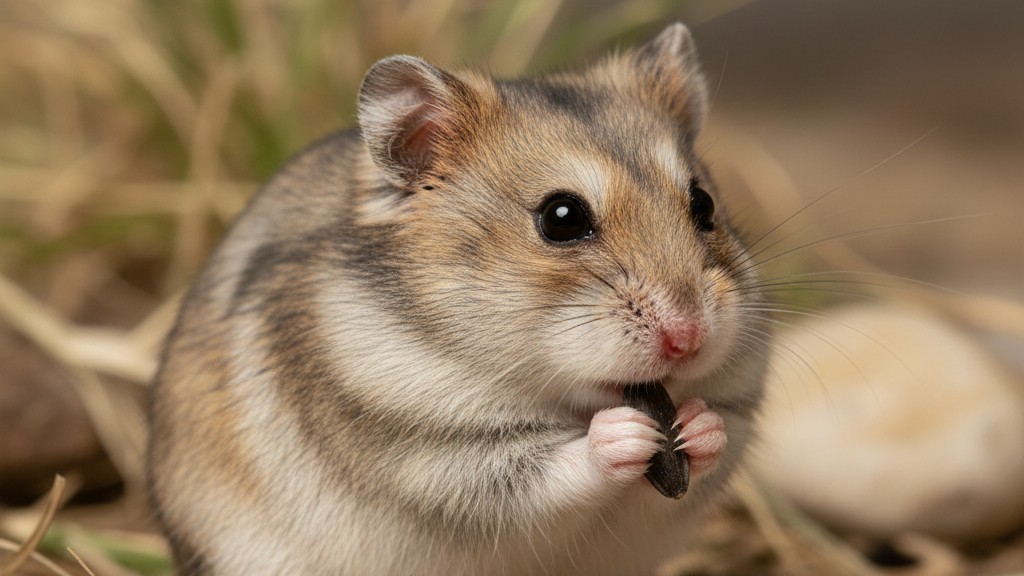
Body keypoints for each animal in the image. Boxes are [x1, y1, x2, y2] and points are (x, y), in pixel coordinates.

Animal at [147, 22, 770, 576]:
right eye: (561, 219)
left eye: (704, 204)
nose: (688, 338)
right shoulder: (438, 460)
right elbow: (554, 470)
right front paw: (630, 433)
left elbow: (708, 447)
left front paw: (698, 425)